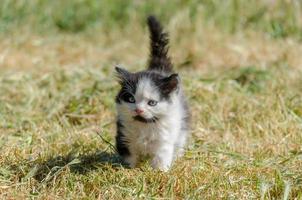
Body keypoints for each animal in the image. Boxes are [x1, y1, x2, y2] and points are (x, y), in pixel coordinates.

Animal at [114, 16, 189, 172]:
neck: (145, 125)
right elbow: (130, 156)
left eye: (152, 103)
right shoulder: (124, 136)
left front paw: (159, 172)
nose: (139, 110)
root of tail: (159, 69)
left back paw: (178, 156)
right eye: (131, 99)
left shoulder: (164, 139)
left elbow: (161, 157)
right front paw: (128, 170)